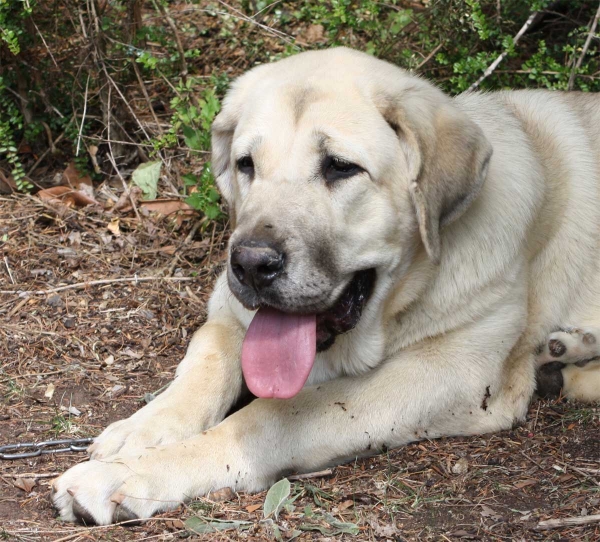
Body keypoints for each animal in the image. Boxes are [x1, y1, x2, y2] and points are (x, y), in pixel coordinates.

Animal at [50, 49, 600, 524]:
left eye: (340, 167)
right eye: (247, 164)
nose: (251, 264)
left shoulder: (454, 372)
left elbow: (278, 415)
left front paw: (130, 475)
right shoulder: (228, 310)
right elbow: (203, 366)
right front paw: (140, 434)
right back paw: (564, 354)